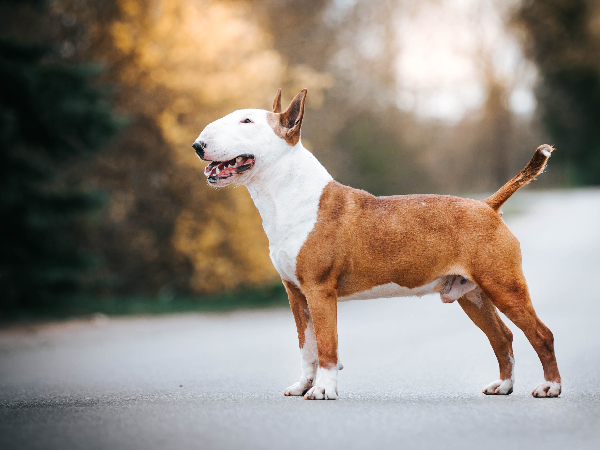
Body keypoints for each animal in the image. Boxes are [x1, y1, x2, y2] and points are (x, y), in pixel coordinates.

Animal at [193, 89, 564, 400]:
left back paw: (550, 387)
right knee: (502, 337)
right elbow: (306, 347)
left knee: (541, 334)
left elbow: (326, 345)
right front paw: (303, 386)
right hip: (471, 294)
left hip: (504, 286)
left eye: (247, 121)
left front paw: (324, 390)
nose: (197, 145)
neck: (288, 195)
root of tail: (488, 205)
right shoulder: (296, 293)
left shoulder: (320, 290)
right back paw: (503, 385)